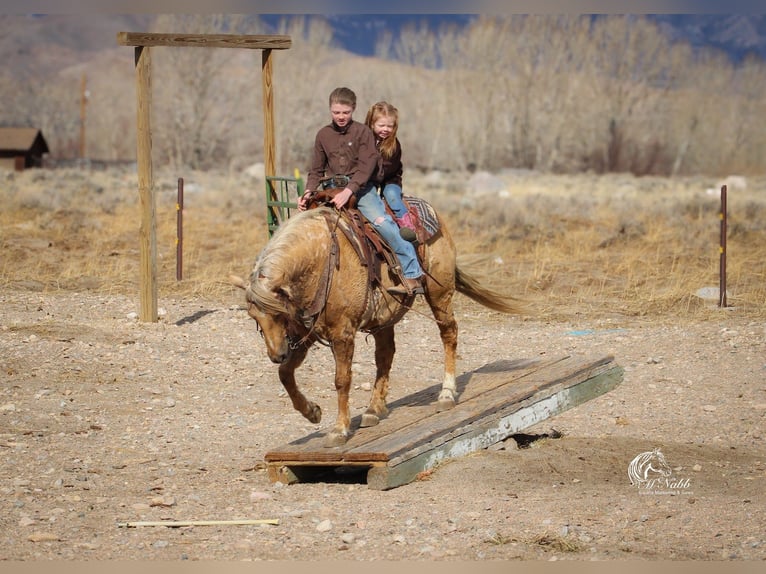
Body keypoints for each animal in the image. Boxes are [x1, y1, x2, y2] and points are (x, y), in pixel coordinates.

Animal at [231, 204, 524, 447]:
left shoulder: (342, 334)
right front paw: (312, 412)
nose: (276, 354)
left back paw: (446, 394)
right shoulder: (306, 335)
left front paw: (339, 430)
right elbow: (285, 374)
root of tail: (436, 216)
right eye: (254, 318)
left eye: (279, 314)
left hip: (440, 295)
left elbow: (342, 380)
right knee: (385, 354)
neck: (320, 261)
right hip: (385, 317)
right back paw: (374, 409)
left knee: (448, 334)